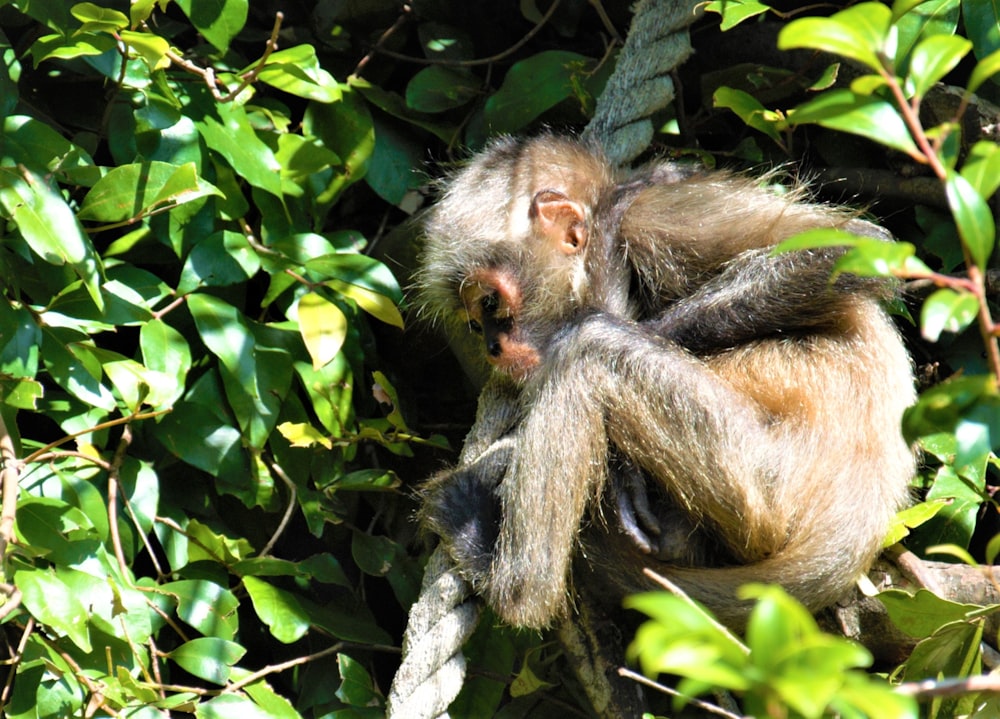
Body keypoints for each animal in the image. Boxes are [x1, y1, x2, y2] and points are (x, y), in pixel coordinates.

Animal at [414, 134, 916, 632]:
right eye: (475, 323)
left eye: (491, 303)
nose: (493, 348)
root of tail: (867, 497)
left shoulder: (653, 215)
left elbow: (862, 247)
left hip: (769, 480)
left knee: (587, 347)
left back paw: (516, 587)